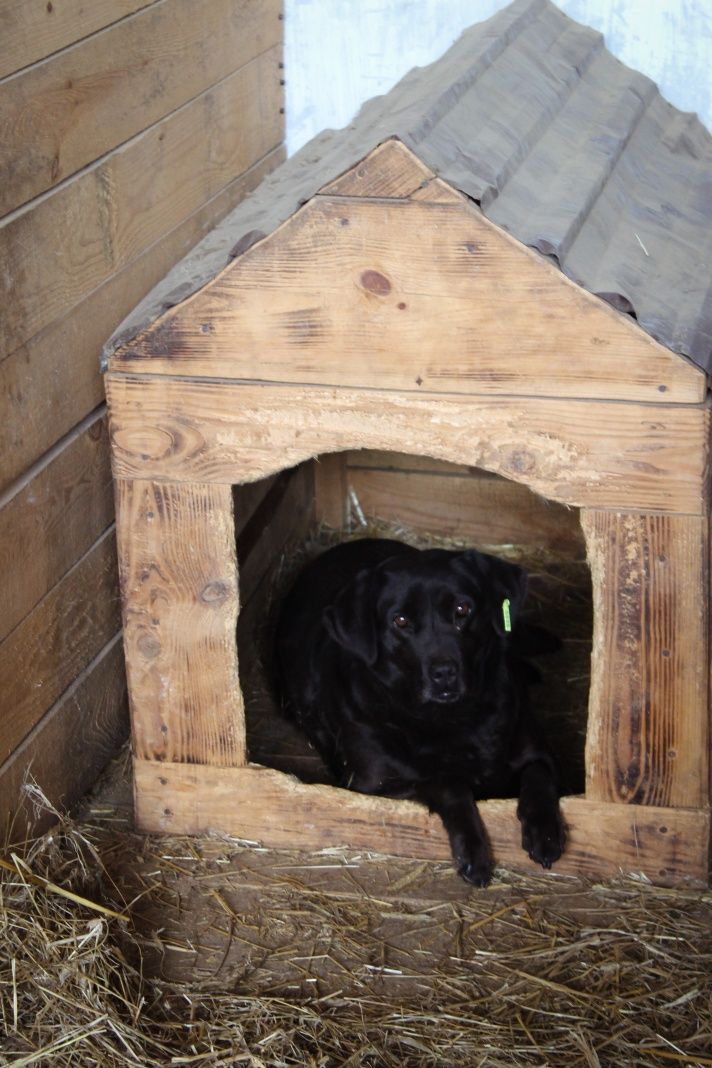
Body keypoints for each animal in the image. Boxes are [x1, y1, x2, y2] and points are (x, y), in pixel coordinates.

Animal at [275, 538, 567, 888]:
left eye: (462, 610)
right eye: (400, 621)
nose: (444, 673)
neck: (452, 718)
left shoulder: (538, 752)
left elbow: (538, 776)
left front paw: (545, 833)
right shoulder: (375, 785)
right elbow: (448, 782)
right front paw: (473, 853)